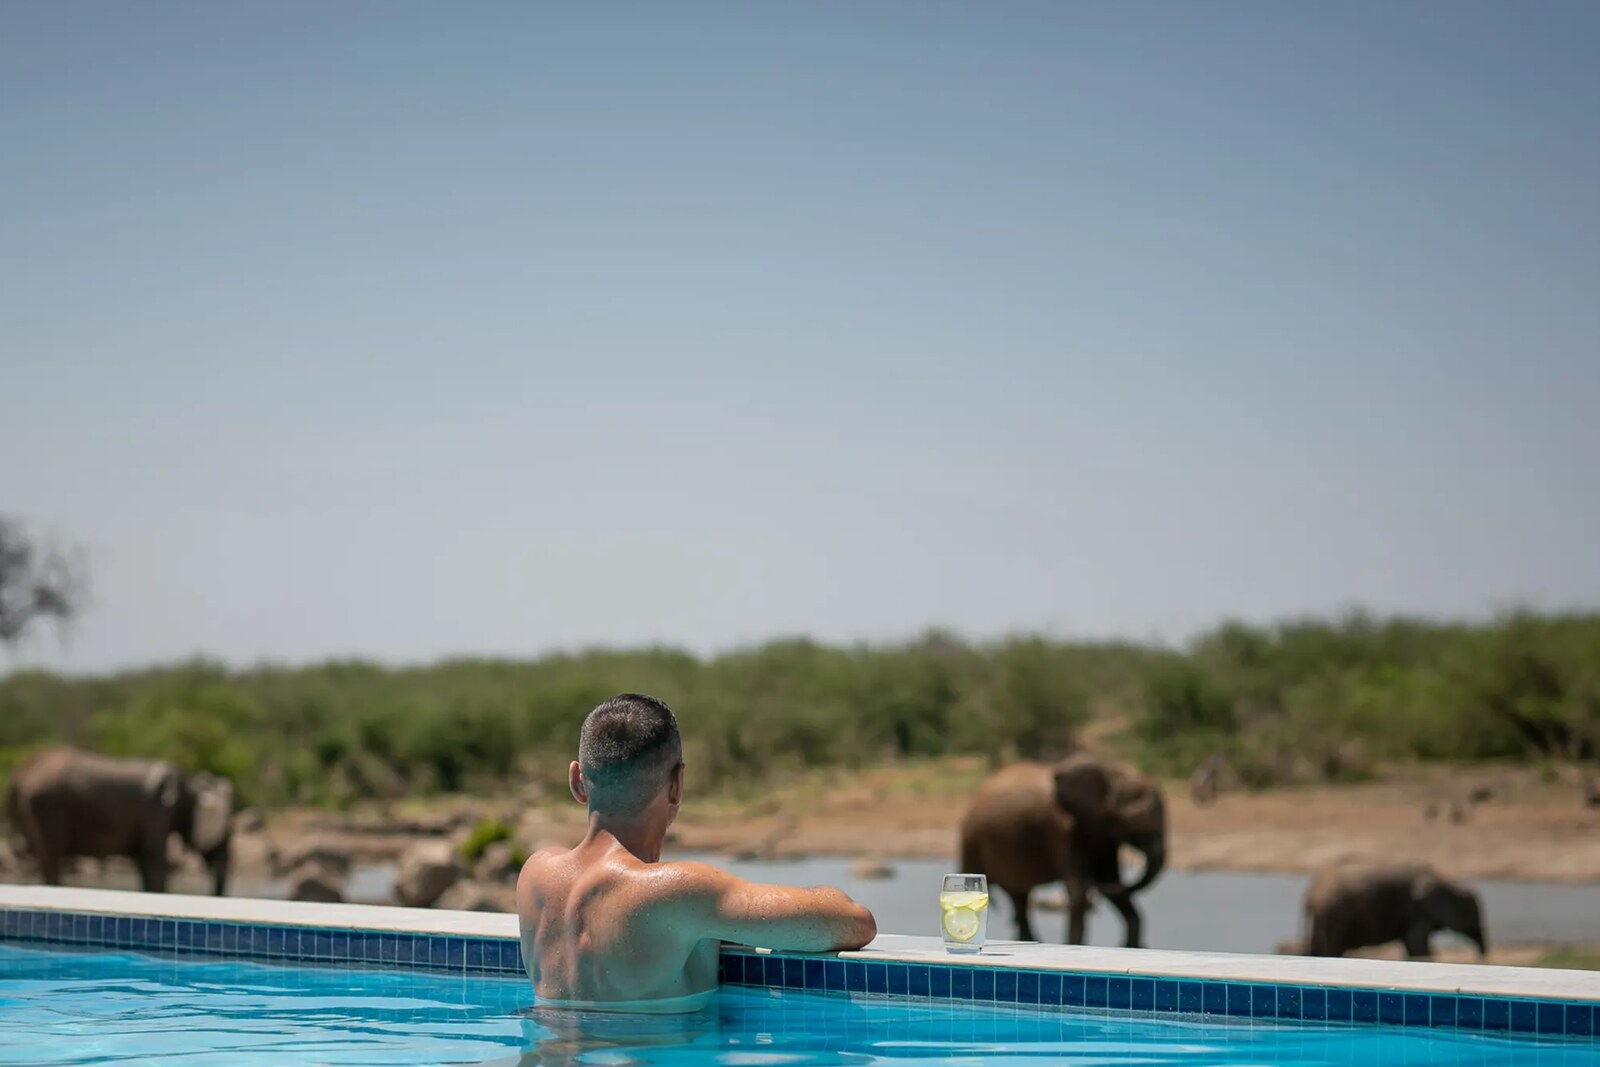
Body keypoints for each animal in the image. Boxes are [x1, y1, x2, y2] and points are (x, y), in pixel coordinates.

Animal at [5, 746, 236, 895]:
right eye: (226, 831)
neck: (192, 786)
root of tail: (19, 775)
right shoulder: (156, 811)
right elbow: (153, 863)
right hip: (48, 806)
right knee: (51, 860)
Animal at [958, 753, 1167, 947]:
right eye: (1144, 829)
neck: (1111, 771)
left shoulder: (1104, 837)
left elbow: (1109, 879)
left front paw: (1133, 947)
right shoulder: (1061, 830)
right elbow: (1078, 891)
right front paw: (1075, 944)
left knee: (1020, 897)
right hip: (971, 840)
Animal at [1301, 860, 1487, 959]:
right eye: (1474, 915)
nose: (1481, 956)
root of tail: (1310, 896)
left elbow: (1413, 944)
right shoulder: (1419, 909)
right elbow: (1416, 943)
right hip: (1333, 919)